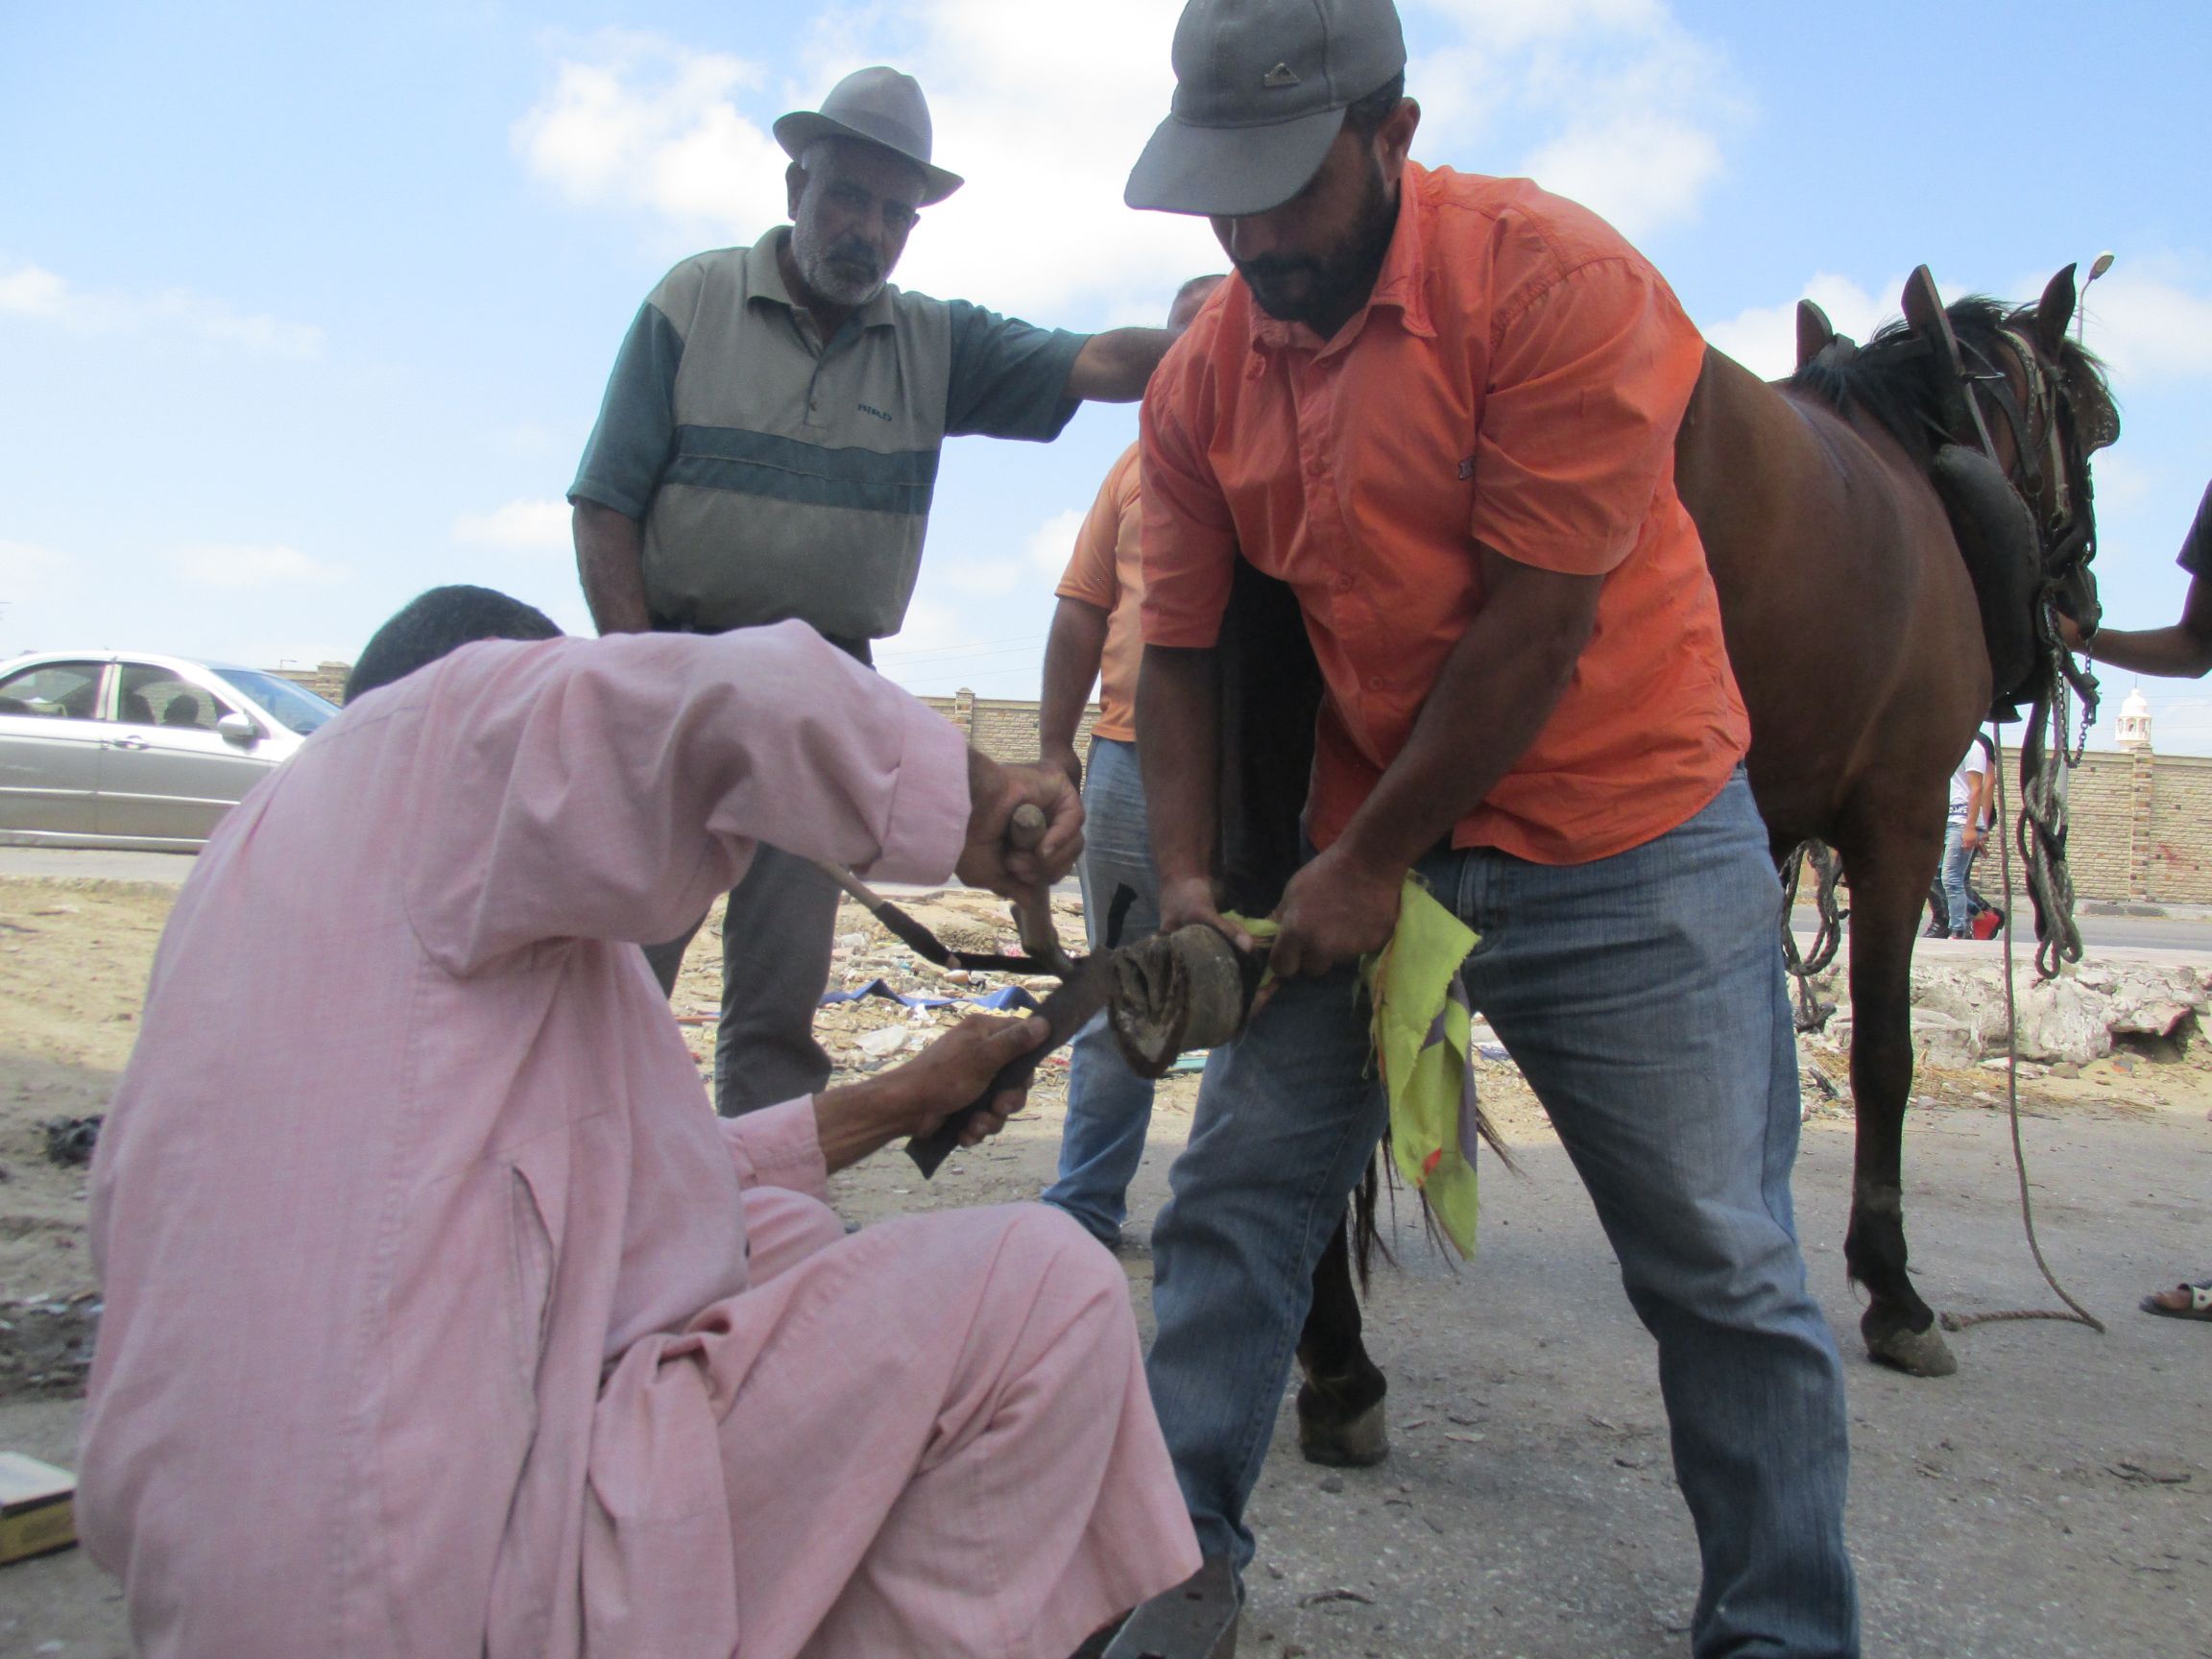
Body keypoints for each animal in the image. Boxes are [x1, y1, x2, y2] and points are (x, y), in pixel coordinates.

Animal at [1230, 263, 2123, 1468]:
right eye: (2096, 425)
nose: (2081, 609)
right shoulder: (1897, 818)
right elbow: (1883, 1056)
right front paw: (1892, 1289)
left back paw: (1331, 1357)